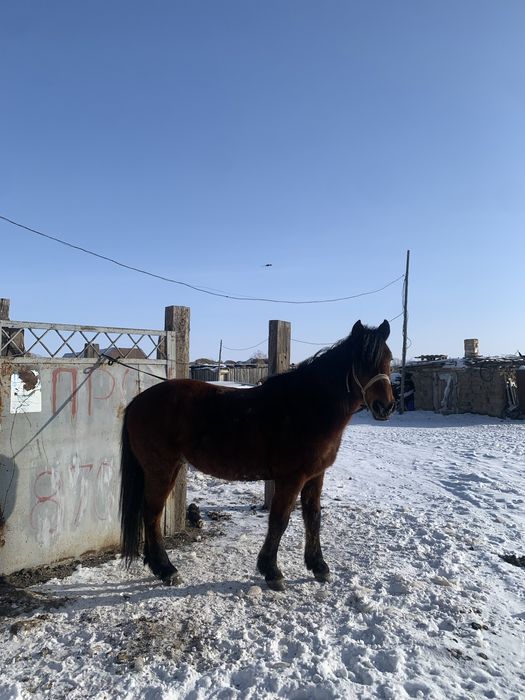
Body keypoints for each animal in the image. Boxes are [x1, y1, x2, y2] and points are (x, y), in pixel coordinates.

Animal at [120, 319, 395, 591]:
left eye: (389, 359)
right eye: (361, 360)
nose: (385, 407)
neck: (306, 406)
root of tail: (138, 401)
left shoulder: (316, 476)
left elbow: (313, 517)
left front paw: (319, 567)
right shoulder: (290, 479)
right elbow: (279, 521)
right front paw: (272, 571)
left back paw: (157, 566)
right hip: (161, 470)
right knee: (152, 514)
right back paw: (167, 569)